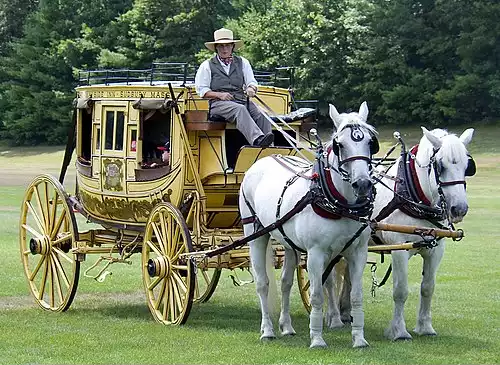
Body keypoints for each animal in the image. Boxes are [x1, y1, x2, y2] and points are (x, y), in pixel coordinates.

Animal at [240, 101, 376, 346]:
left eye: (370, 142)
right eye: (340, 145)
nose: (362, 184)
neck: (339, 205)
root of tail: (263, 159)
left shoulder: (357, 251)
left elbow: (355, 295)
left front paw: (359, 339)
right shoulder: (316, 253)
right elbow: (317, 294)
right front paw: (317, 339)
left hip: (288, 244)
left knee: (285, 283)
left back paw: (286, 326)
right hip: (256, 234)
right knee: (262, 283)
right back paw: (267, 330)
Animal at [330, 126, 474, 340]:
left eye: (467, 166)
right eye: (440, 166)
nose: (459, 209)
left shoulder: (436, 249)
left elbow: (427, 288)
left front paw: (425, 327)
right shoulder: (399, 248)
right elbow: (400, 290)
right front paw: (398, 330)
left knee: (347, 274)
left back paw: (346, 312)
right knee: (329, 280)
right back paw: (333, 317)